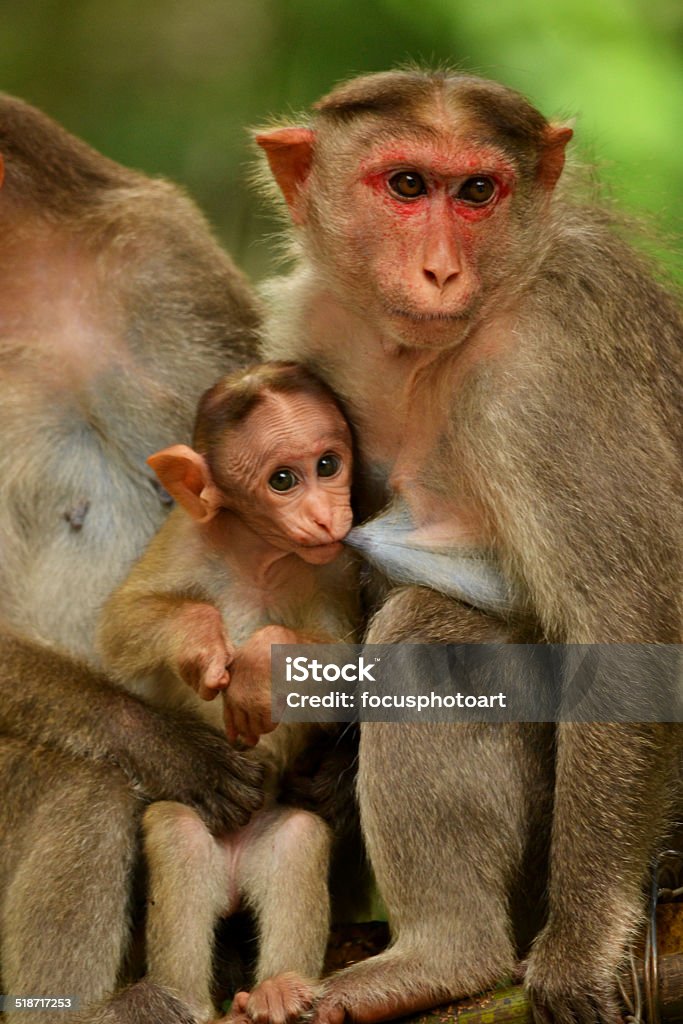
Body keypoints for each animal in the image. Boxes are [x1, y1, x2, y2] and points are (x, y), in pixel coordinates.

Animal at [100, 360, 362, 1024]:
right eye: (283, 479)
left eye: (328, 464)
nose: (327, 517)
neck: (259, 556)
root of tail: (237, 876)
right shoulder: (182, 536)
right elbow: (119, 625)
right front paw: (201, 637)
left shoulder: (337, 564)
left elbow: (350, 668)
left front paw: (258, 664)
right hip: (206, 834)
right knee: (177, 835)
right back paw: (186, 1001)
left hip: (270, 841)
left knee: (297, 841)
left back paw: (278, 988)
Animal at [255, 70, 683, 1024]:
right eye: (407, 185)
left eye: (477, 191)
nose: (441, 270)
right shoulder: (313, 328)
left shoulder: (543, 379)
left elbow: (630, 623)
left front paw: (579, 950)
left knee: (431, 628)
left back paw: (447, 958)